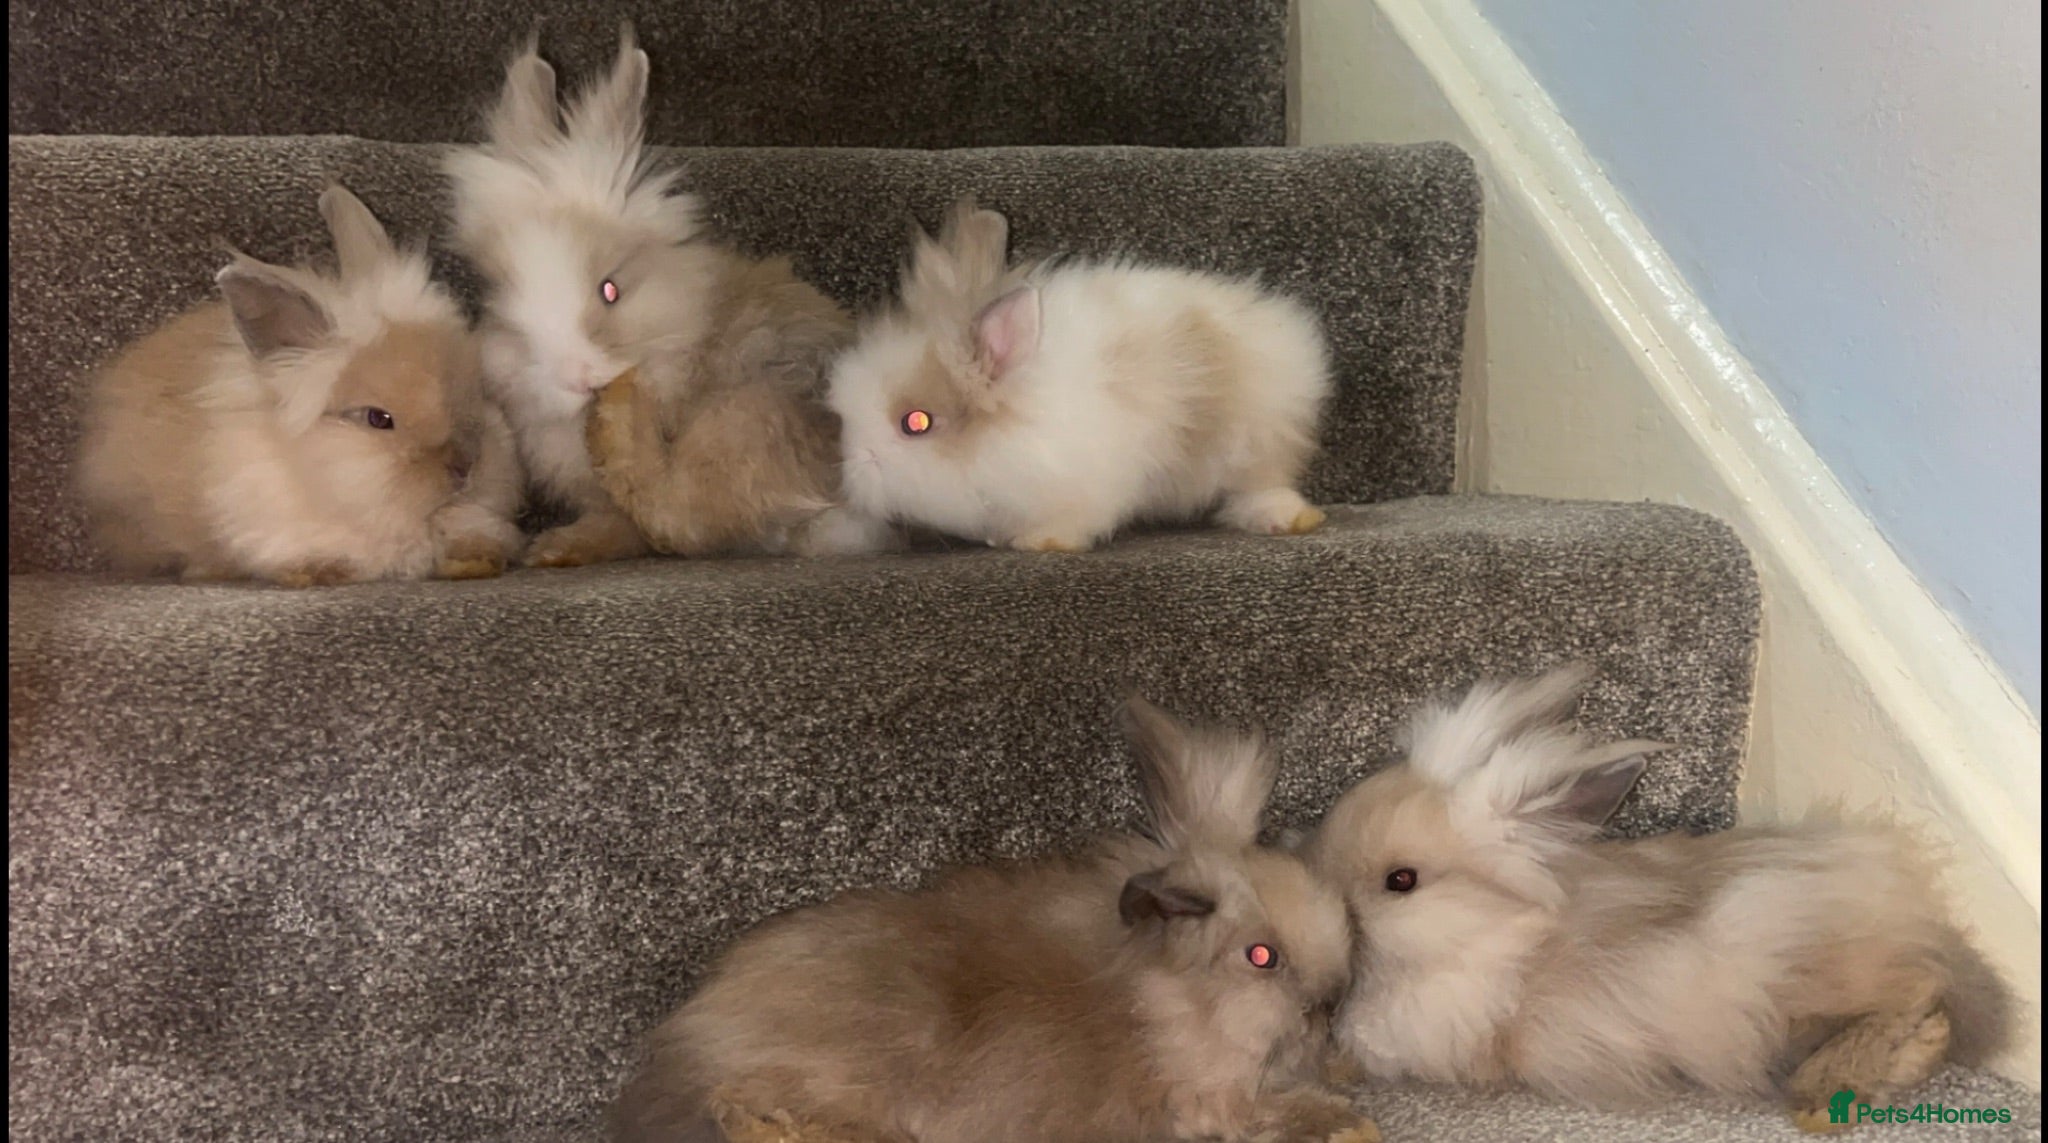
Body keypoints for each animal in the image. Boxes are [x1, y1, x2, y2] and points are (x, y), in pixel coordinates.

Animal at [444, 30, 895, 564]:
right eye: (501, 301)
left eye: (610, 289)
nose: (575, 377)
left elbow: (641, 522)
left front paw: (564, 545)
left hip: (743, 415)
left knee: (680, 513)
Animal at [611, 698, 1380, 1143]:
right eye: (1261, 956)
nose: (1331, 1001)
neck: (1163, 998)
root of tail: (690, 1039)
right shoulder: (1203, 1100)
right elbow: (1268, 1113)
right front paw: (1349, 1125)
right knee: (743, 1110)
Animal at [825, 195, 1334, 553]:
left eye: (916, 423)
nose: (849, 466)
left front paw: (1039, 543)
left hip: (1256, 439)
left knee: (1264, 482)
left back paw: (1285, 518)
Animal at [1300, 662, 2012, 1133]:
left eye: (1401, 882)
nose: (1323, 898)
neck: (1490, 934)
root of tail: (1922, 922)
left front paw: (1331, 1069)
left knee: (1915, 995)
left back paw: (1826, 1096)